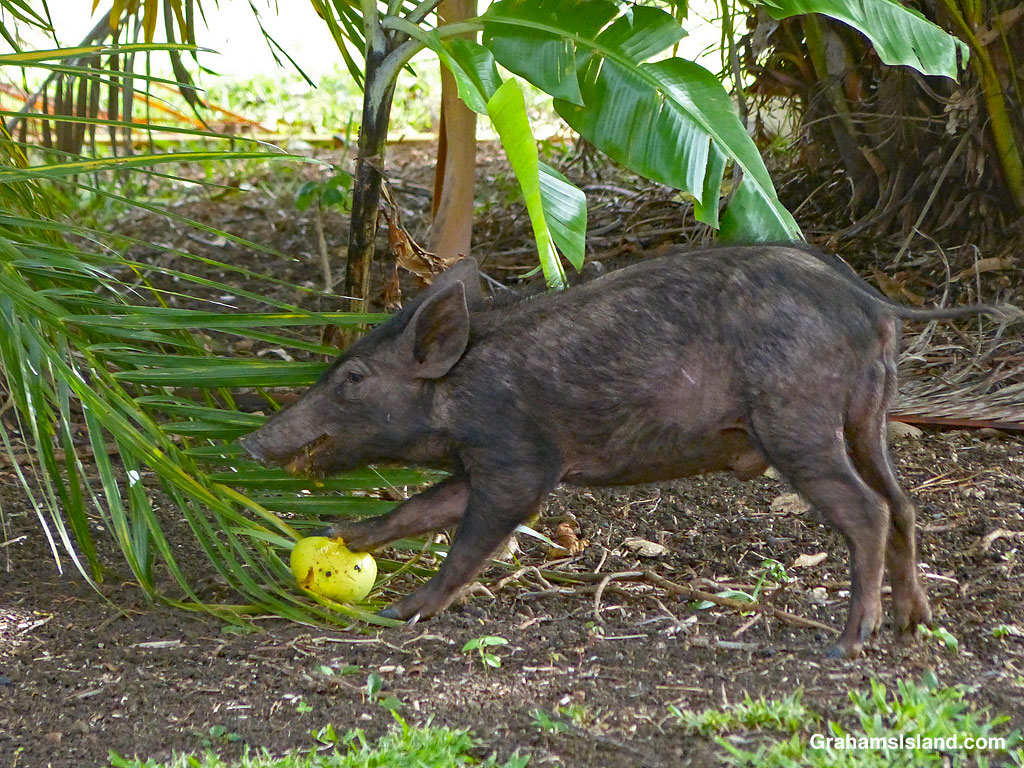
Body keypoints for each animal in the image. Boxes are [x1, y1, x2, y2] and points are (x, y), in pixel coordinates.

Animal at [239, 245, 1015, 658]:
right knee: (902, 503)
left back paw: (848, 641)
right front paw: (346, 536)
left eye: (352, 378)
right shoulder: (480, 465)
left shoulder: (519, 459)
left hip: (799, 419)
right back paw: (916, 624)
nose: (248, 439)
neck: (458, 390)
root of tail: (875, 304)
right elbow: (420, 508)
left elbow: (471, 537)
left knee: (867, 512)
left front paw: (405, 611)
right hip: (868, 416)